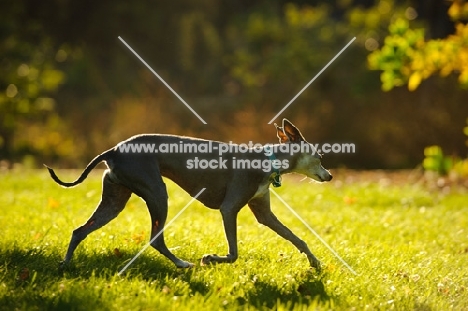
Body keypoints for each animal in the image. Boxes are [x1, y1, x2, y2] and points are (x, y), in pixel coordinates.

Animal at [47, 119, 332, 270]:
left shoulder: (264, 213)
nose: (329, 176)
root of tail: (113, 150)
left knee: (80, 230)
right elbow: (234, 253)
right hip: (157, 193)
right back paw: (183, 264)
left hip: (115, 200)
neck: (267, 161)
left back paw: (65, 265)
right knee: (156, 239)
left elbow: (296, 238)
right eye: (319, 157)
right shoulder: (229, 208)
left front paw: (315, 262)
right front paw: (211, 258)